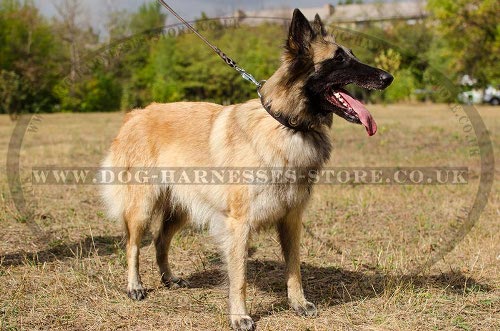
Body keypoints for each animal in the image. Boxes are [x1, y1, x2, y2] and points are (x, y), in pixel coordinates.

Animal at [100, 9, 390, 330]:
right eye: (339, 59)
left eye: (351, 55)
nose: (388, 77)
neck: (287, 126)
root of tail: (134, 114)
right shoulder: (239, 225)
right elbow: (239, 278)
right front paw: (239, 316)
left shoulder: (291, 219)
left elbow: (294, 268)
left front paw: (298, 303)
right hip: (143, 206)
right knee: (133, 244)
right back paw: (134, 286)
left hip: (181, 208)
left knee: (160, 241)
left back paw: (170, 279)